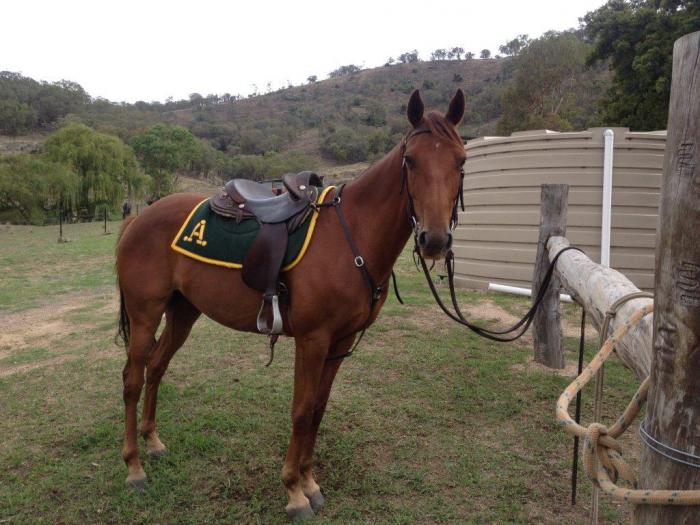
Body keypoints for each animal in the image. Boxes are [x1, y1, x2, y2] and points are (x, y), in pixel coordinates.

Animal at [115, 88, 467, 520]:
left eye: (461, 160)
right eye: (411, 160)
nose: (435, 240)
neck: (351, 235)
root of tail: (139, 217)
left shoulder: (339, 343)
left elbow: (318, 409)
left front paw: (310, 482)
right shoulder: (312, 340)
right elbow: (301, 410)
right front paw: (294, 491)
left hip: (182, 311)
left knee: (157, 366)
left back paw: (153, 443)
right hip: (144, 313)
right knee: (132, 378)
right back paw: (134, 466)